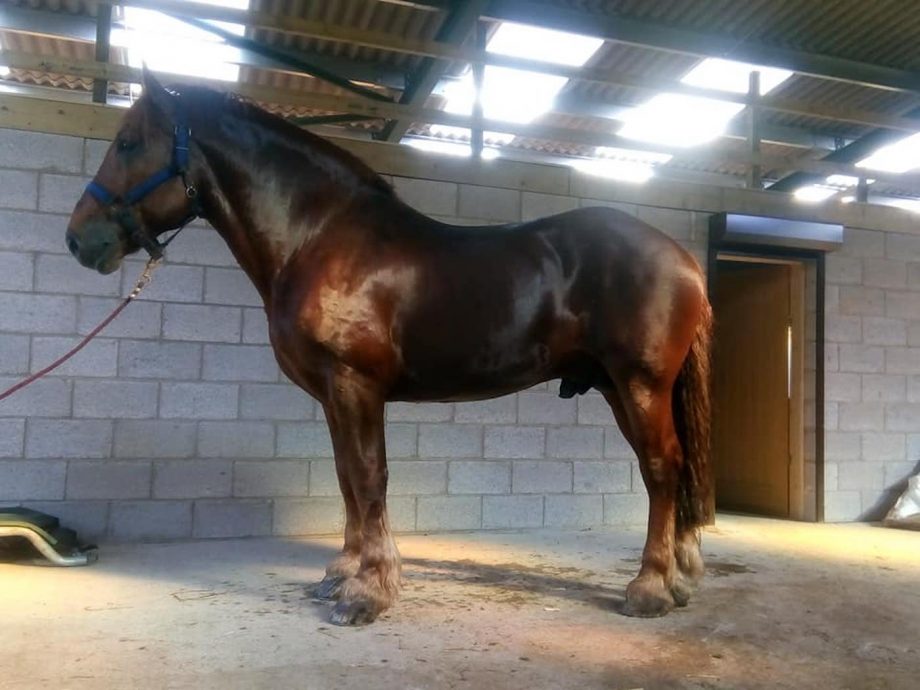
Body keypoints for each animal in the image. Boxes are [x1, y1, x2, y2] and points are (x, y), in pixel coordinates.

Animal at [66, 70, 713, 626]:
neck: (318, 237)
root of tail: (683, 258)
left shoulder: (356, 383)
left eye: (127, 143)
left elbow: (369, 474)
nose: (78, 240)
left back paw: (650, 588)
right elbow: (346, 477)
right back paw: (680, 578)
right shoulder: (332, 394)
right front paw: (343, 573)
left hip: (639, 384)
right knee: (674, 466)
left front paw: (367, 592)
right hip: (616, 387)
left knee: (661, 467)